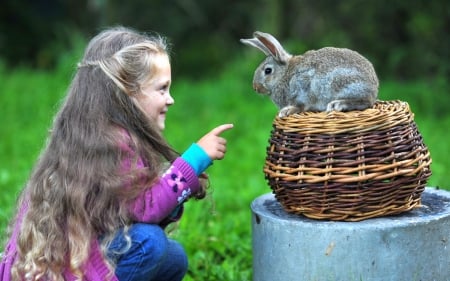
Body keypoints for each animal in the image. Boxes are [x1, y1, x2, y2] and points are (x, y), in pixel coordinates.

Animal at [241, 31, 378, 116]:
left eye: (267, 71)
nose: (255, 87)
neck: (285, 74)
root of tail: (374, 88)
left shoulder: (302, 86)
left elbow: (301, 105)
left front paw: (287, 111)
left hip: (343, 82)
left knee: (365, 102)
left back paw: (338, 104)